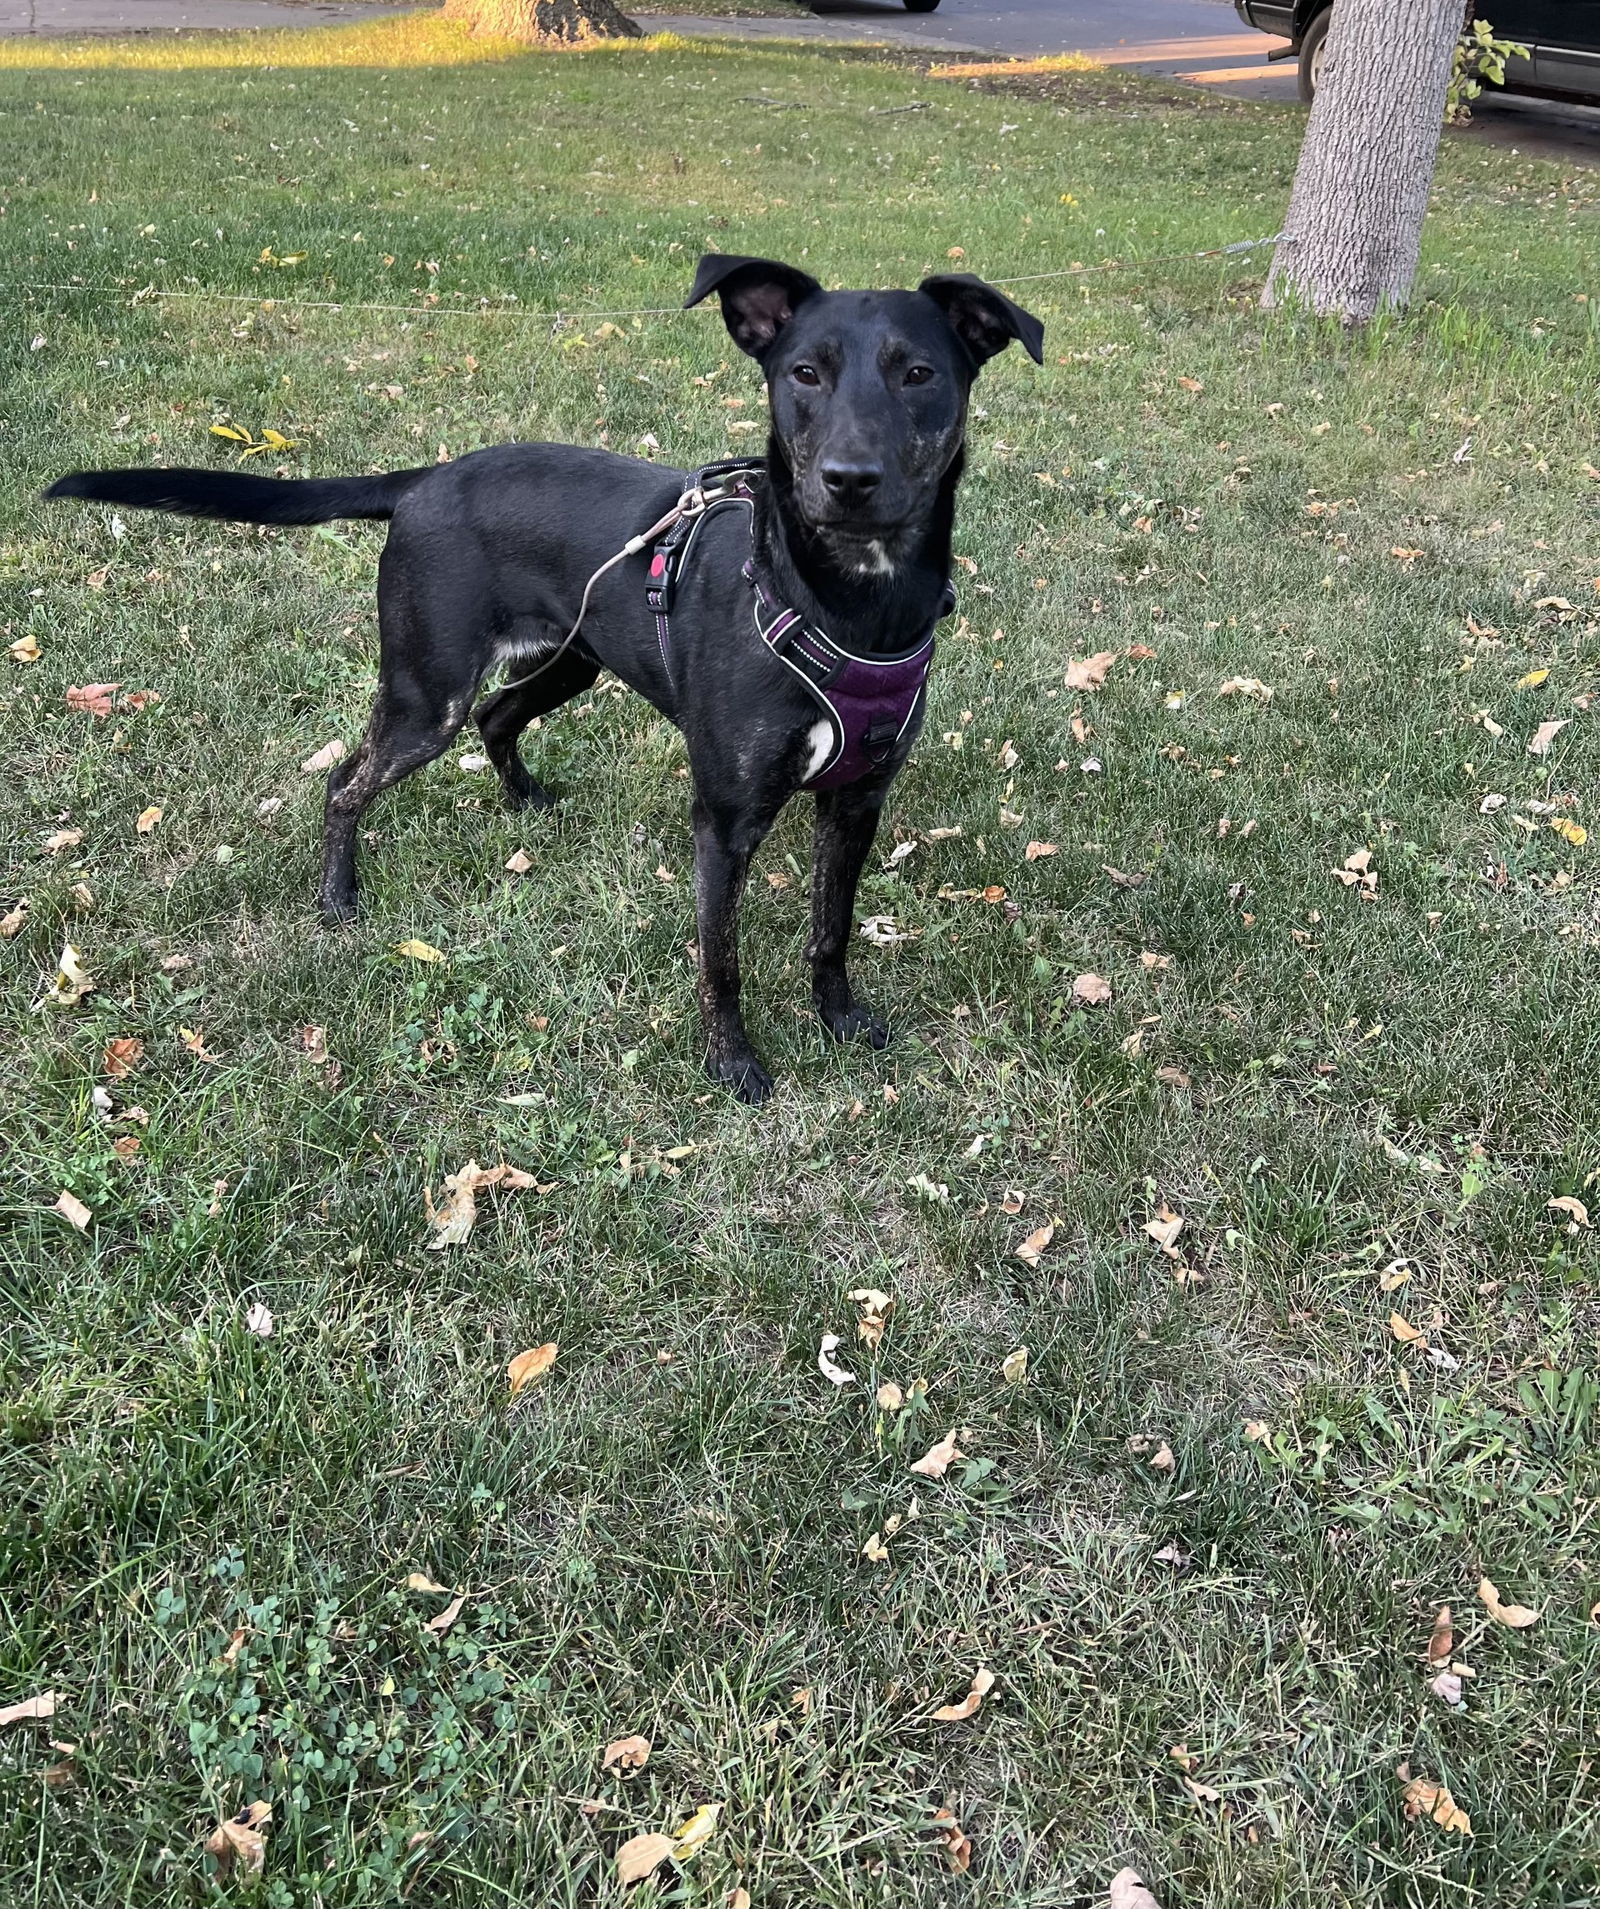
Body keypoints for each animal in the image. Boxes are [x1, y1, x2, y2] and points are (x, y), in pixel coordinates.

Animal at [47, 253, 1038, 1099]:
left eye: (919, 374)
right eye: (805, 373)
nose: (848, 479)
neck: (846, 604)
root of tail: (427, 478)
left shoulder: (858, 798)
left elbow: (831, 930)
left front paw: (839, 1020)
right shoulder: (724, 820)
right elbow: (720, 960)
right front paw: (733, 1063)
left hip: (573, 662)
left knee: (499, 718)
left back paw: (525, 803)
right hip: (426, 693)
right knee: (347, 780)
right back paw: (338, 897)